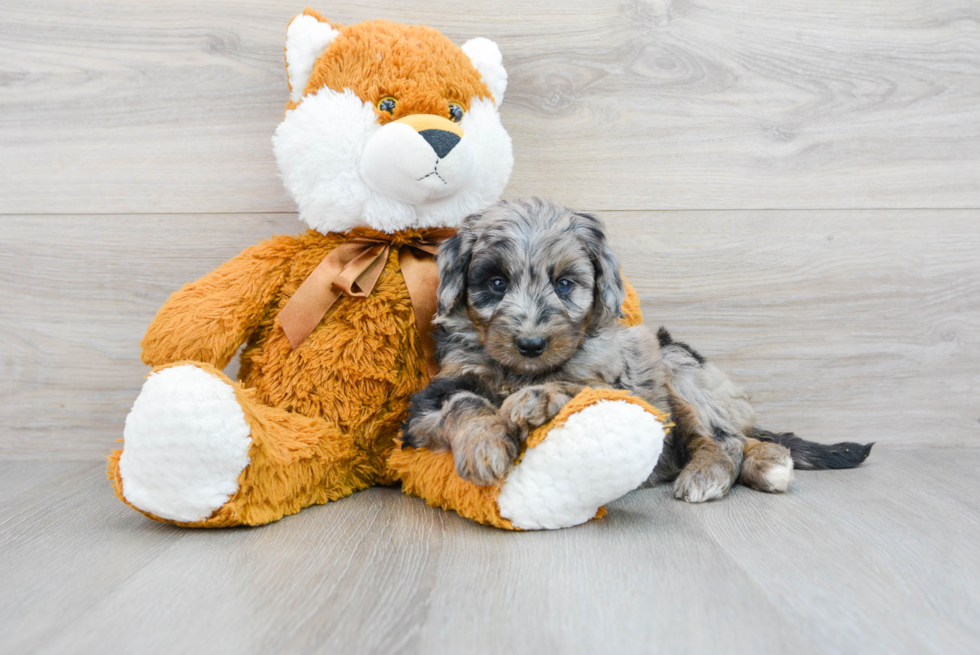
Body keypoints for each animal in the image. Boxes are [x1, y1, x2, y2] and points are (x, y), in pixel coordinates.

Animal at [400, 196, 872, 502]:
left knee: (727, 439)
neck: (522, 372)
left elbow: (579, 388)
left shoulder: (620, 384)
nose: (530, 344)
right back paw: (767, 464)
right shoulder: (430, 400)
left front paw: (537, 400)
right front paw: (485, 447)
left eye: (564, 284)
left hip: (679, 367)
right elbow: (464, 403)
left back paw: (716, 474)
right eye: (496, 283)